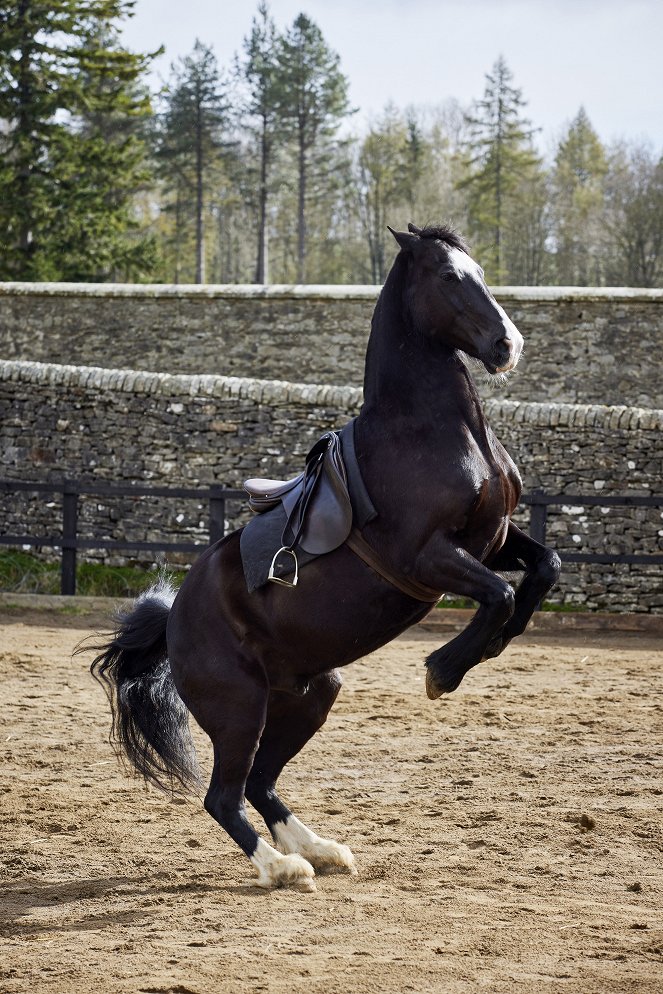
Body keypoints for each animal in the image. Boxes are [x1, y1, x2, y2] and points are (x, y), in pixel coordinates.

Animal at [88, 225, 564, 892]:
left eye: (481, 272)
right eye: (449, 276)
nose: (507, 345)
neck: (430, 431)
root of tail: (174, 618)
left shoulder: (491, 539)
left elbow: (543, 569)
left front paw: (488, 649)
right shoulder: (425, 558)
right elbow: (500, 594)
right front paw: (442, 671)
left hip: (311, 694)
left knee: (260, 783)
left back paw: (321, 849)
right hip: (240, 708)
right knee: (224, 795)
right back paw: (283, 866)